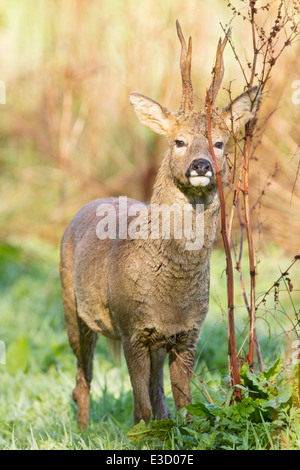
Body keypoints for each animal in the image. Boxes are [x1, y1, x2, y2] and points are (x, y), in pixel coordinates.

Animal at [59, 23, 260, 430]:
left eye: (219, 142)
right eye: (178, 141)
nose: (201, 165)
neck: (169, 292)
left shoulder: (187, 335)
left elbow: (184, 406)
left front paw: (178, 432)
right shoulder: (130, 328)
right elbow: (140, 411)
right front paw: (139, 435)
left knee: (155, 390)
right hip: (72, 305)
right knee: (82, 378)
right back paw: (83, 430)